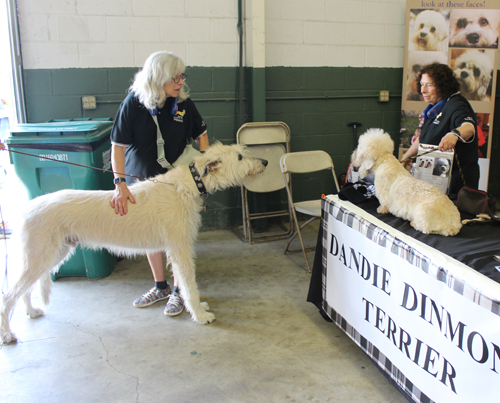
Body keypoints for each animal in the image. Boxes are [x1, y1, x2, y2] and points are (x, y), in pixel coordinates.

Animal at [1, 142, 268, 344]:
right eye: (240, 156)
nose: (265, 162)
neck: (188, 184)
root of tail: (23, 210)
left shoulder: (175, 248)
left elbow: (183, 283)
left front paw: (197, 306)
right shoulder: (180, 248)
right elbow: (189, 284)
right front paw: (201, 315)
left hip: (50, 254)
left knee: (24, 289)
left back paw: (31, 311)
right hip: (40, 255)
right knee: (9, 295)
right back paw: (8, 334)